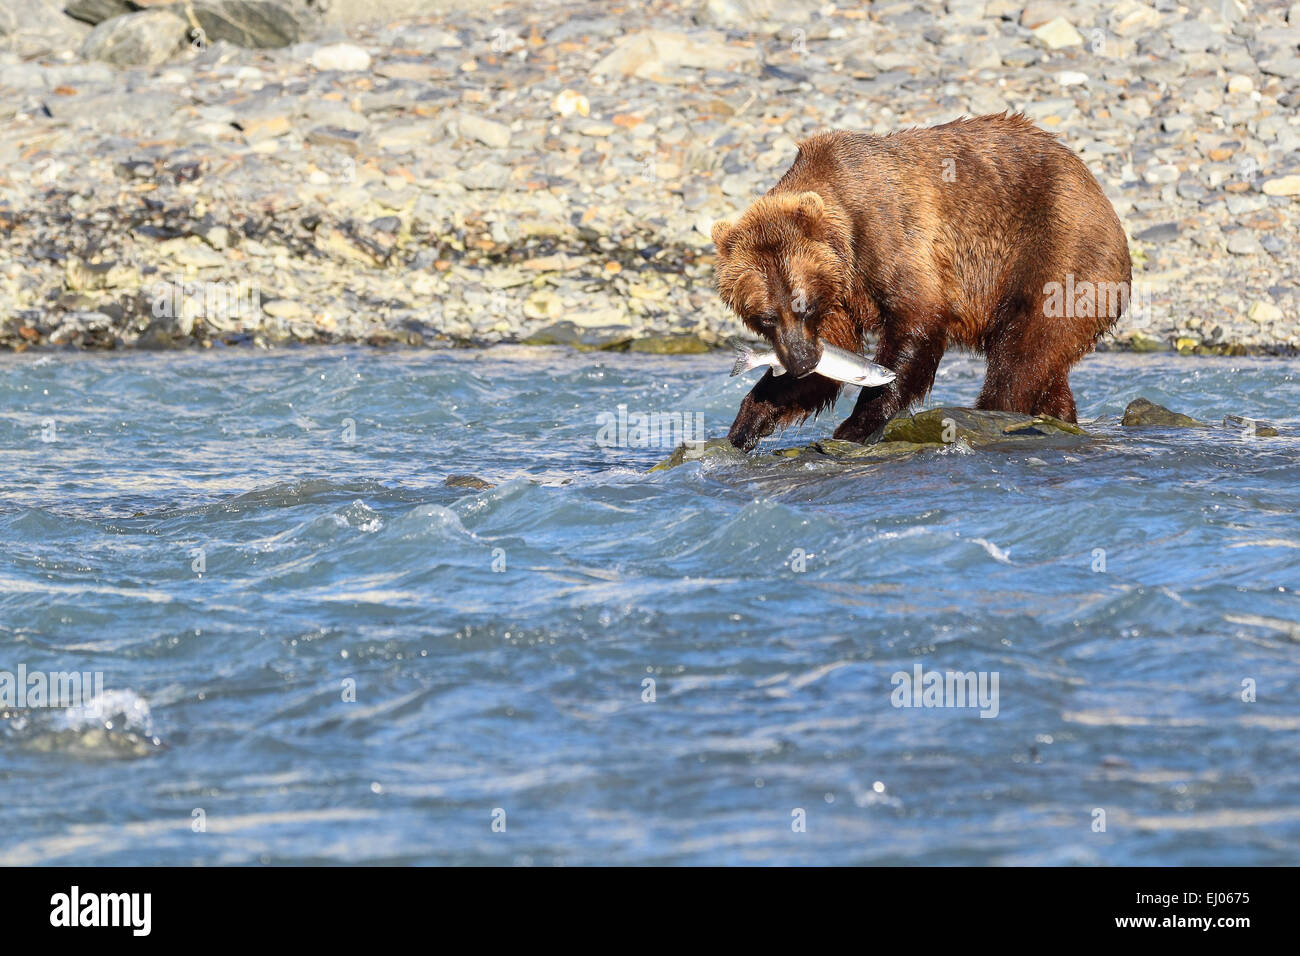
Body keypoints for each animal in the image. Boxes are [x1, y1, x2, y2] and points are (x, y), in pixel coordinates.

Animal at [717, 113, 1133, 452]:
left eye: (804, 305)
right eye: (765, 317)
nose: (802, 362)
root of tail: (1094, 186)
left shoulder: (888, 234)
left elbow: (917, 321)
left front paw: (856, 424)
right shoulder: (840, 294)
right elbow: (834, 353)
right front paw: (747, 423)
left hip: (1057, 253)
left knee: (1023, 354)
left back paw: (995, 413)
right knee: (1047, 367)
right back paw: (1058, 418)